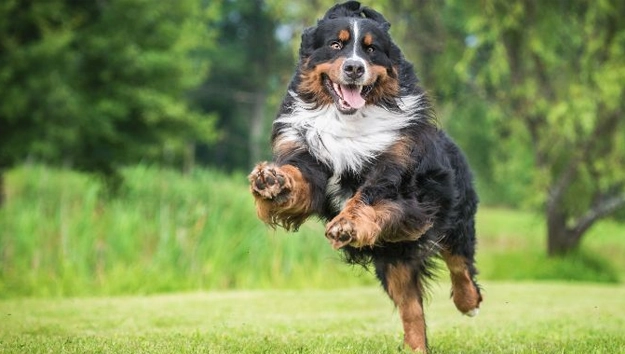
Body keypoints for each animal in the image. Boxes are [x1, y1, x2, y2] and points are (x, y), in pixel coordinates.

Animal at [249, 2, 482, 352]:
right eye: (336, 45)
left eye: (372, 50)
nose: (354, 68)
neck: (348, 120)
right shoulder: (311, 162)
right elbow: (300, 180)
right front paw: (273, 181)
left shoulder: (401, 182)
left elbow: (370, 196)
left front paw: (347, 224)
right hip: (394, 260)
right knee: (412, 310)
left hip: (453, 215)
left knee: (459, 262)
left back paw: (469, 302)